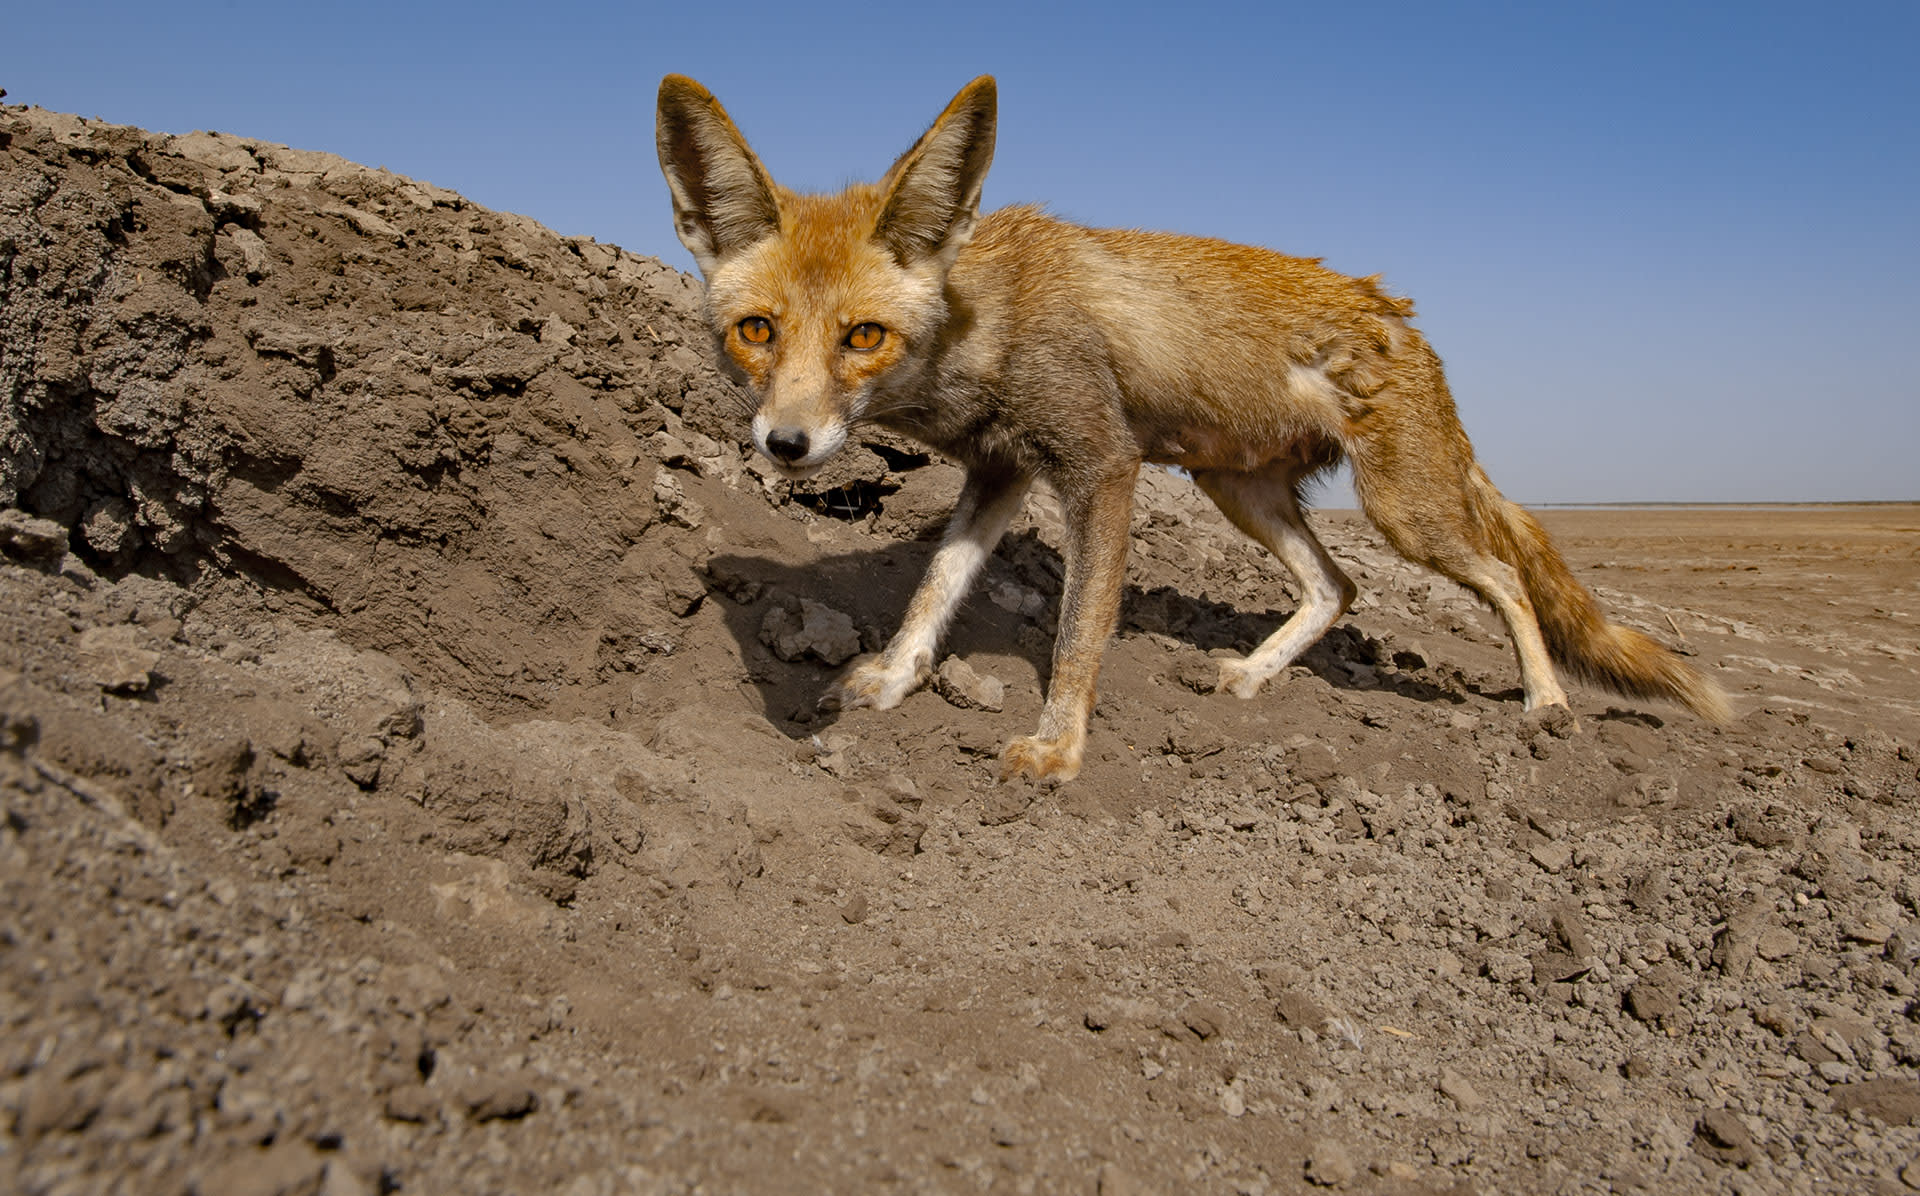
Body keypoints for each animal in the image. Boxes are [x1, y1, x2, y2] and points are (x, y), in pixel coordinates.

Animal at [654, 73, 1731, 783]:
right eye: (757, 331)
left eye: (863, 337)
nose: (785, 445)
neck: (985, 327)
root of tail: (1403, 317)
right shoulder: (999, 475)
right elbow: (933, 593)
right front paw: (888, 681)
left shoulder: (1102, 466)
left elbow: (1078, 633)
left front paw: (1059, 748)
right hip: (1241, 491)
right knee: (1339, 586)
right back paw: (1252, 674)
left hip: (1403, 511)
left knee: (1503, 578)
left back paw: (1547, 704)